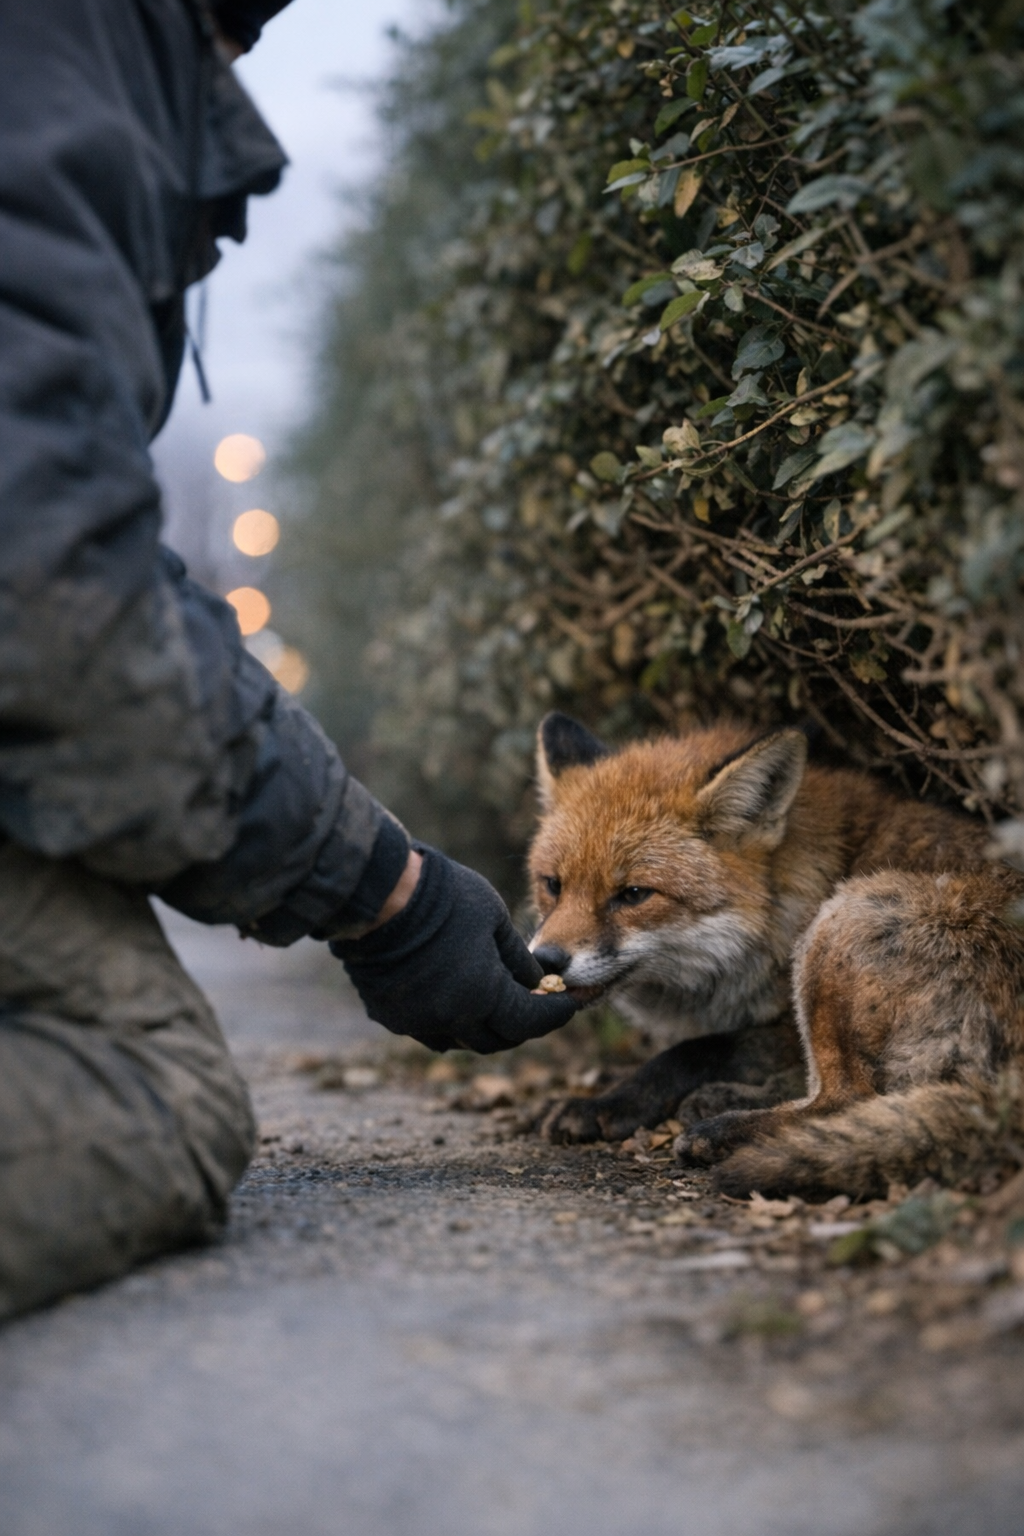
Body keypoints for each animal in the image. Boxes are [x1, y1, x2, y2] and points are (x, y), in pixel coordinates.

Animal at [527, 712, 1024, 1199]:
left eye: (632, 894)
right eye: (553, 884)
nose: (545, 959)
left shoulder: (783, 1025)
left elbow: (698, 1050)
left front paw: (606, 1103)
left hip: (843, 924)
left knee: (847, 1098)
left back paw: (726, 1130)